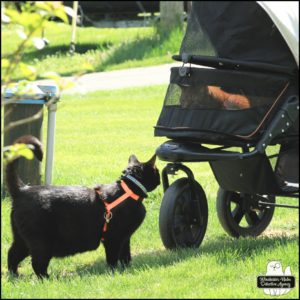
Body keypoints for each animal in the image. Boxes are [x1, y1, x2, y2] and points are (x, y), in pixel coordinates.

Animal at [5, 135, 159, 278]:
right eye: (156, 170)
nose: (159, 179)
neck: (128, 191)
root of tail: (23, 189)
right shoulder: (113, 238)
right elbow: (113, 259)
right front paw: (114, 273)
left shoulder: (125, 238)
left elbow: (126, 256)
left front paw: (127, 270)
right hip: (41, 242)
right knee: (37, 263)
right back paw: (48, 279)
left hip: (21, 239)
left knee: (12, 255)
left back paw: (15, 275)